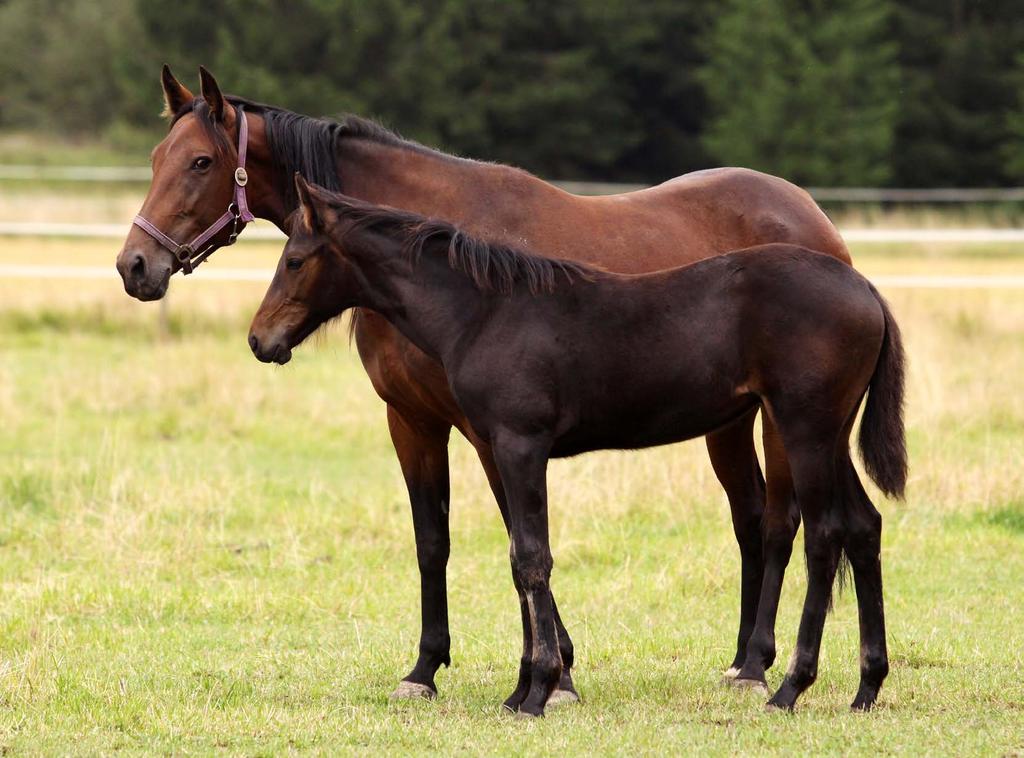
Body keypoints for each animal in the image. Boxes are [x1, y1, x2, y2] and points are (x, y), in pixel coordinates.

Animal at [112, 68, 851, 700]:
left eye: (200, 163)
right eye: (154, 159)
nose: (135, 265)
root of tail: (816, 222)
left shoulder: (492, 430)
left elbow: (520, 538)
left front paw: (555, 676)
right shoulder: (412, 421)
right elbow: (433, 540)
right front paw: (426, 668)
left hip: (781, 420)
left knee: (780, 520)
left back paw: (757, 664)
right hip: (729, 421)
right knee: (748, 515)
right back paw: (742, 659)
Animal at [245, 179, 905, 717]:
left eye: (294, 260)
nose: (260, 339)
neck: (485, 312)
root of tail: (866, 288)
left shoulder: (519, 445)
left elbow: (532, 559)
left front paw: (538, 691)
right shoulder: (494, 447)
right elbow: (519, 557)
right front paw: (523, 689)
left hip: (803, 429)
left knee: (822, 535)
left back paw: (789, 686)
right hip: (829, 435)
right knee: (862, 525)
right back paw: (866, 687)